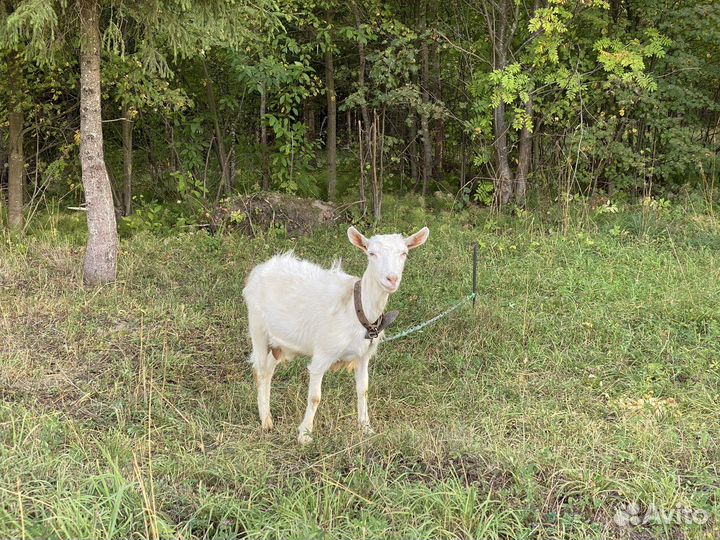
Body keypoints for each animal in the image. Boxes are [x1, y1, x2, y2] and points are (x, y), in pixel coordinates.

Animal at [242, 226, 430, 444]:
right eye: (371, 253)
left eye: (404, 253)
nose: (391, 279)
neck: (356, 308)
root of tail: (258, 270)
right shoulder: (323, 353)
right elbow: (315, 397)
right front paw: (305, 435)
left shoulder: (363, 355)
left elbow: (363, 389)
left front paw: (366, 428)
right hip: (258, 328)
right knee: (261, 371)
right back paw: (266, 421)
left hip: (282, 344)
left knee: (270, 367)